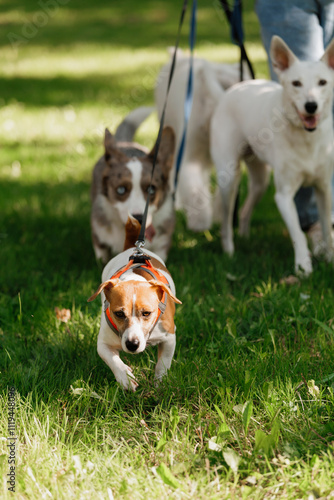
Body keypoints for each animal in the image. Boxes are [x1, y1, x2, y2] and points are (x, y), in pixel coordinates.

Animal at [210, 36, 334, 274]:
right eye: (296, 84)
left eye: (323, 82)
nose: (311, 106)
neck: (307, 139)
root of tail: (239, 86)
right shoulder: (283, 197)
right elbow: (297, 235)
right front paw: (303, 267)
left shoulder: (324, 189)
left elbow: (327, 229)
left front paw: (330, 258)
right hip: (229, 180)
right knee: (226, 220)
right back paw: (229, 252)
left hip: (261, 180)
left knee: (245, 210)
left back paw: (245, 237)